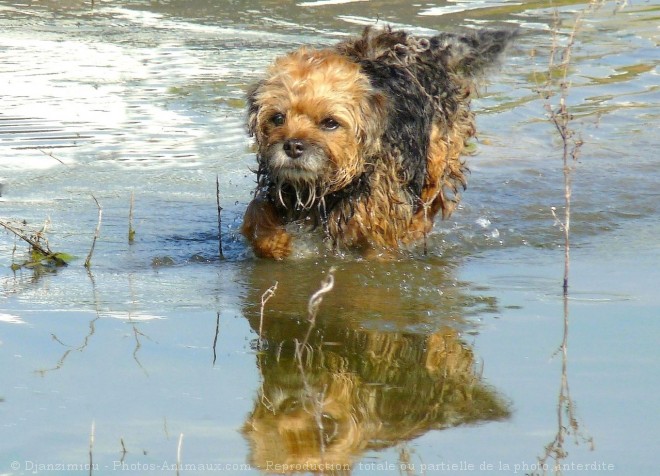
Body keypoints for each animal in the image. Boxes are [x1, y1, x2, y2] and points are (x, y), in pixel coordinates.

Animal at [242, 25, 516, 260]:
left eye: (330, 123)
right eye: (278, 118)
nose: (292, 146)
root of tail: (426, 48)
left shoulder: (378, 225)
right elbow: (256, 212)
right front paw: (274, 243)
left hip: (438, 155)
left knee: (429, 200)